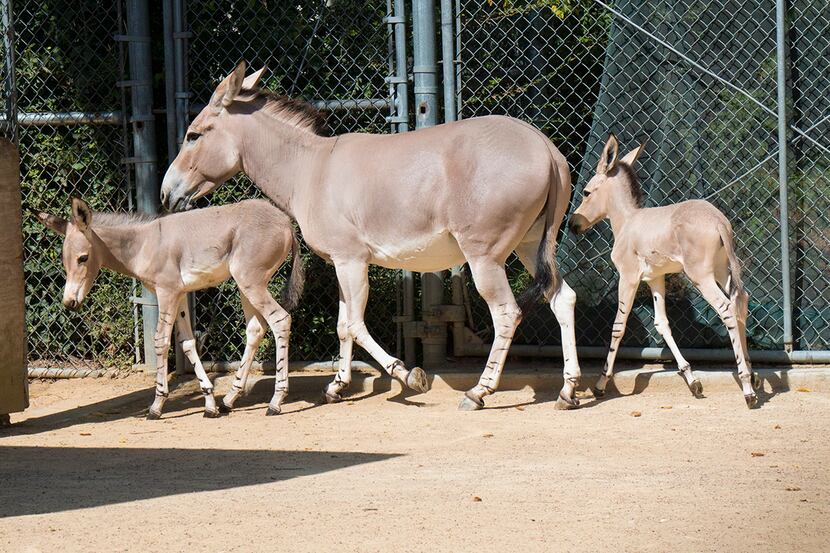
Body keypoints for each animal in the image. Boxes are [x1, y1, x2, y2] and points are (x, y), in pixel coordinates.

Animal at [38, 196, 306, 416]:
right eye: (63, 259)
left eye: (83, 258)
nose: (69, 303)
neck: (144, 245)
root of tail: (285, 222)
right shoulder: (179, 294)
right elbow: (187, 343)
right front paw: (209, 403)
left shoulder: (166, 292)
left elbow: (160, 340)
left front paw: (157, 405)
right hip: (244, 285)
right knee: (255, 329)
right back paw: (230, 399)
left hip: (251, 282)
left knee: (280, 319)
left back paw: (276, 401)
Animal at [572, 136, 760, 408]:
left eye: (586, 192)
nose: (573, 225)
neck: (628, 221)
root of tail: (718, 221)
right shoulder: (655, 278)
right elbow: (662, 323)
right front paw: (692, 380)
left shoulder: (628, 277)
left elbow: (618, 325)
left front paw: (600, 384)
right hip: (721, 271)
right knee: (740, 303)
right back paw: (753, 376)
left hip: (701, 276)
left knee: (726, 309)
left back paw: (747, 388)